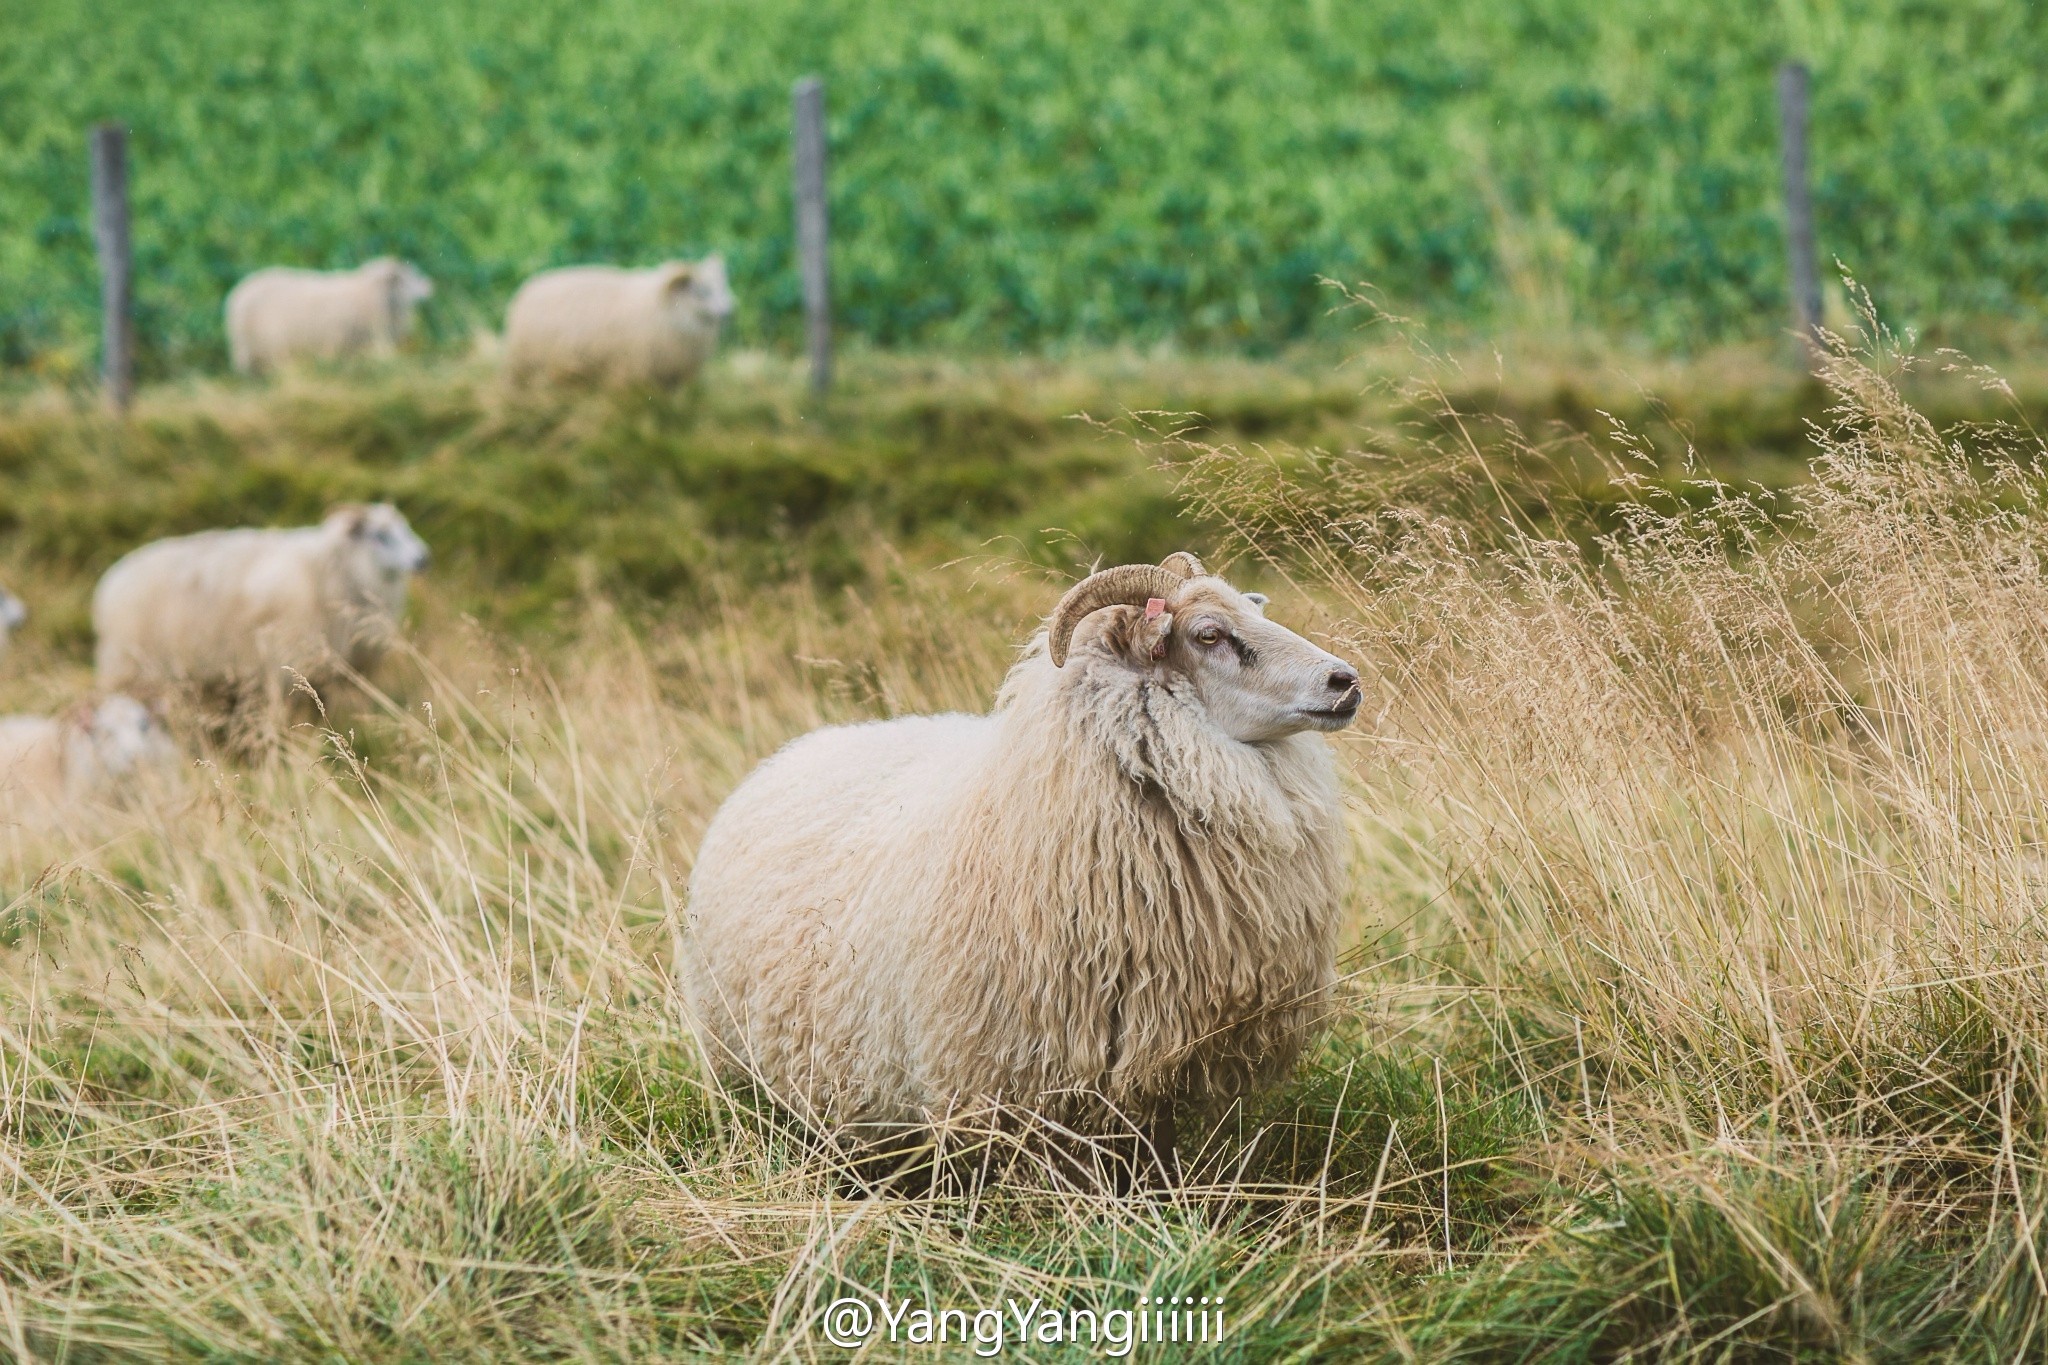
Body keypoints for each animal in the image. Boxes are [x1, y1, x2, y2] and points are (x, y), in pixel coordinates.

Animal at [97, 501, 434, 716]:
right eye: (380, 536)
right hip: (131, 670)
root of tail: (111, 580)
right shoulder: (288, 668)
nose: (423, 559)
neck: (331, 569)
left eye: (406, 528)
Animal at [503, 257, 737, 386]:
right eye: (701, 292)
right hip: (523, 368)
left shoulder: (672, 378)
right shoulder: (630, 374)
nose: (729, 312)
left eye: (723, 287)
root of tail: (524, 291)